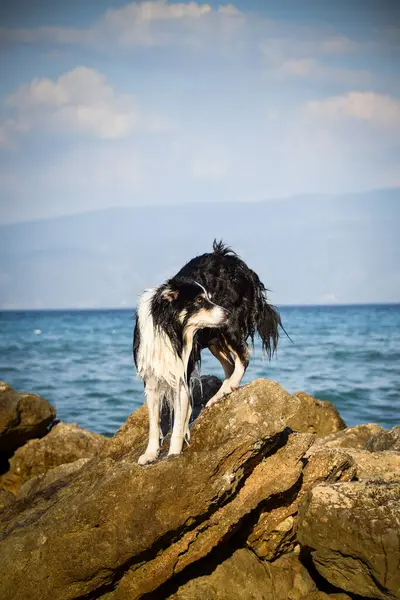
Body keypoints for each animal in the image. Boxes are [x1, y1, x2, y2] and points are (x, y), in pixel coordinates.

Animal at [134, 239, 282, 464]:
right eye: (198, 301)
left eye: (209, 298)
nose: (226, 312)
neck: (170, 330)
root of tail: (233, 260)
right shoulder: (151, 377)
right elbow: (154, 422)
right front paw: (150, 454)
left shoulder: (182, 373)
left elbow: (178, 423)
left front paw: (174, 453)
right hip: (213, 336)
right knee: (230, 364)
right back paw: (221, 393)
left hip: (228, 328)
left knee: (243, 357)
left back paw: (226, 390)